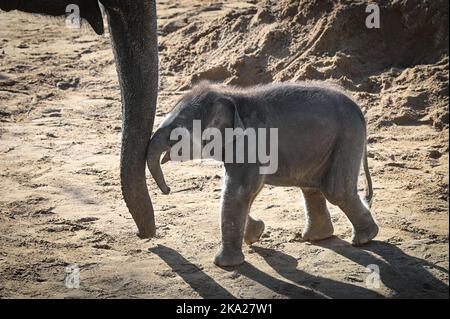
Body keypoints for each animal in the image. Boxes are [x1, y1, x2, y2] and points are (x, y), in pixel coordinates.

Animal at [147, 82, 376, 268]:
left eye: (176, 133)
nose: (168, 190)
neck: (230, 95)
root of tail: (358, 108)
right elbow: (246, 191)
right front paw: (256, 233)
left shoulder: (250, 145)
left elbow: (240, 190)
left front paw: (225, 264)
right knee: (311, 187)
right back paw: (318, 237)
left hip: (347, 136)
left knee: (335, 190)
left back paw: (365, 239)